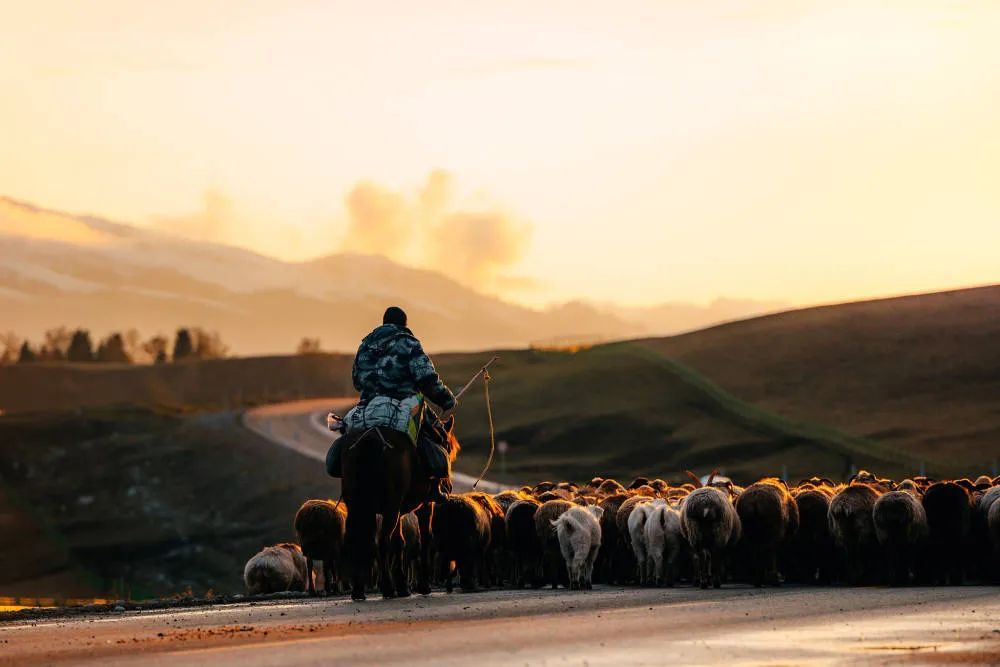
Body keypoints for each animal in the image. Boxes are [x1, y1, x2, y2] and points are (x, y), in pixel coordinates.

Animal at [338, 412, 458, 600]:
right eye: (448, 447)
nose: (448, 487)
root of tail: (370, 439)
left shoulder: (399, 512)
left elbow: (399, 542)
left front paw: (402, 585)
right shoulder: (425, 506)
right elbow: (425, 538)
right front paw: (423, 586)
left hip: (359, 507)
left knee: (360, 540)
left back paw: (358, 589)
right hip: (389, 508)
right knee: (382, 542)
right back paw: (387, 587)